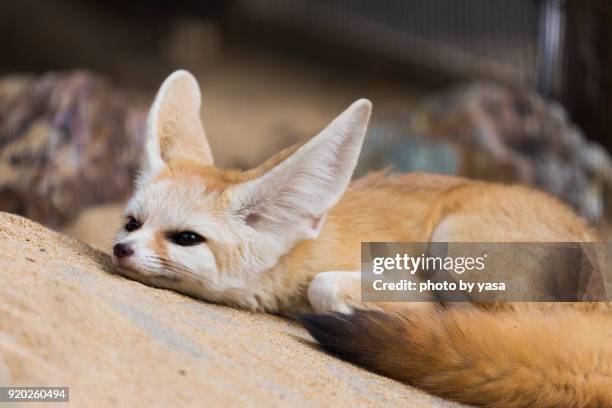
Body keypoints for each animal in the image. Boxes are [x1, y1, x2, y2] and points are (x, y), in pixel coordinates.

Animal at [112, 71, 608, 406]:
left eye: (186, 237)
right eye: (132, 223)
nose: (121, 249)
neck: (309, 243)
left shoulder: (388, 273)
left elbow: (328, 285)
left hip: (456, 246)